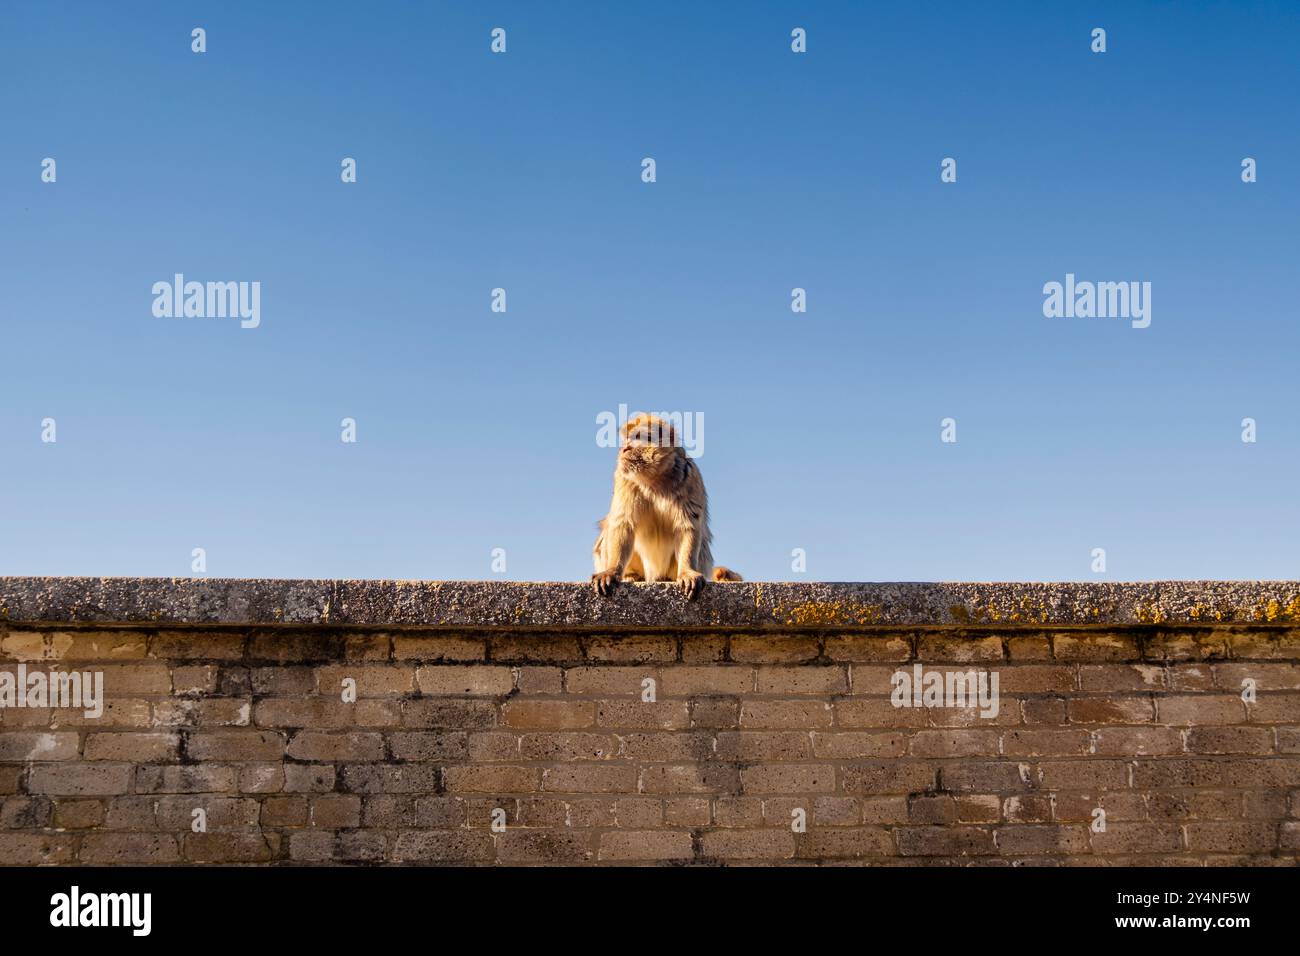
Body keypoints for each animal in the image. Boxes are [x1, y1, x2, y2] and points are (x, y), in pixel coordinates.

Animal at [592, 413, 741, 600]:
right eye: (627, 438)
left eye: (638, 437)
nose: (624, 448)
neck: (653, 479)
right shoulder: (624, 479)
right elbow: (623, 524)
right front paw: (612, 571)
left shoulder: (689, 476)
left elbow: (687, 525)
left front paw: (687, 572)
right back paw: (631, 575)